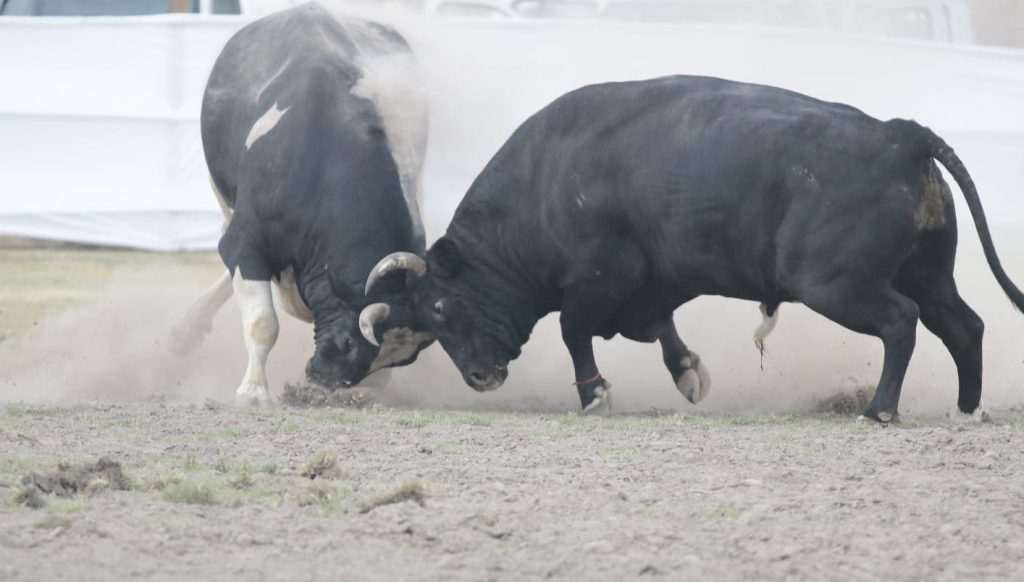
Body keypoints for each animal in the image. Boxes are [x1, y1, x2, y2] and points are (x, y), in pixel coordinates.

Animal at [171, 3, 432, 403]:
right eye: (348, 343)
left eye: (400, 360)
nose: (325, 381)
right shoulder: (245, 238)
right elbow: (263, 321)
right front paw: (253, 391)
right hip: (224, 199)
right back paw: (186, 330)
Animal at [368, 76, 1024, 422]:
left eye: (440, 308)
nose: (479, 377)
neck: (545, 180)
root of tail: (899, 133)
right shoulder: (652, 283)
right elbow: (662, 328)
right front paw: (688, 374)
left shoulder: (600, 276)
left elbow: (574, 329)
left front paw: (595, 394)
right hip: (928, 274)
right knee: (962, 325)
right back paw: (968, 408)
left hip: (837, 284)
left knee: (901, 322)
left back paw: (881, 409)